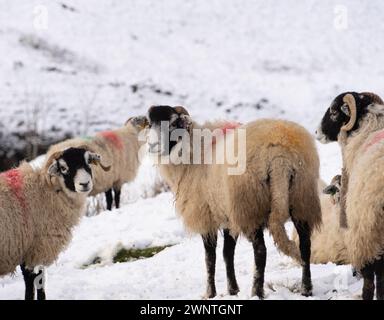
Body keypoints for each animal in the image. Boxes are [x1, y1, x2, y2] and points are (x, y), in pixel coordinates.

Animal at [0, 146, 108, 298]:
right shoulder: (37, 248)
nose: (84, 184)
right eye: (63, 168)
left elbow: (30, 282)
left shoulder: (27, 250)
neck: (46, 191)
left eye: (88, 162)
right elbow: (36, 283)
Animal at [144, 106, 320, 298]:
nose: (153, 147)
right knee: (305, 246)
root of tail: (280, 157)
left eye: (173, 122)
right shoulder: (227, 215)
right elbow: (227, 253)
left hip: (249, 206)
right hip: (302, 200)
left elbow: (210, 258)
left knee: (261, 251)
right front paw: (232, 289)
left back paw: (256, 291)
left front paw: (210, 293)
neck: (192, 153)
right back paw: (306, 289)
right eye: (151, 123)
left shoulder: (206, 216)